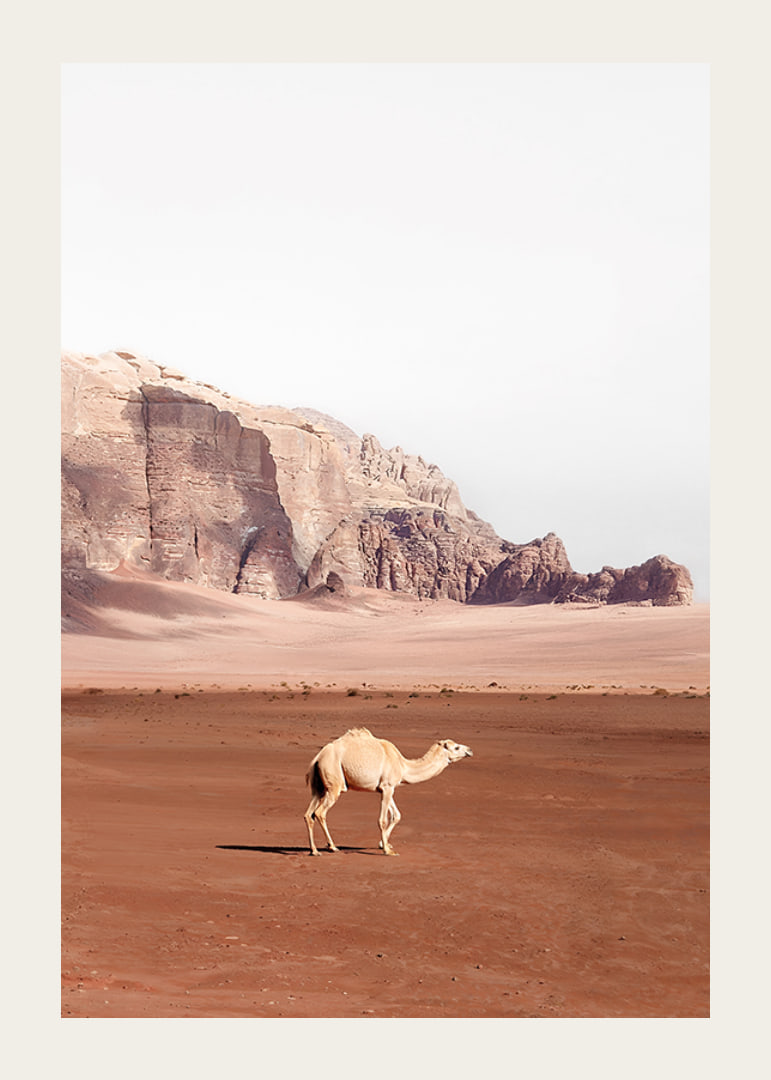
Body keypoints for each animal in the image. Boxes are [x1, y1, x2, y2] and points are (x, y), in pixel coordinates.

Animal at [303, 727, 473, 856]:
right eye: (456, 747)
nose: (470, 750)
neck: (403, 765)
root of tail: (318, 757)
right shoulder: (387, 786)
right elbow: (383, 819)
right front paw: (387, 850)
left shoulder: (387, 788)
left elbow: (397, 815)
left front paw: (383, 844)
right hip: (334, 784)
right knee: (320, 812)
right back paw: (332, 846)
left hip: (319, 787)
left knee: (308, 814)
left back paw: (314, 850)